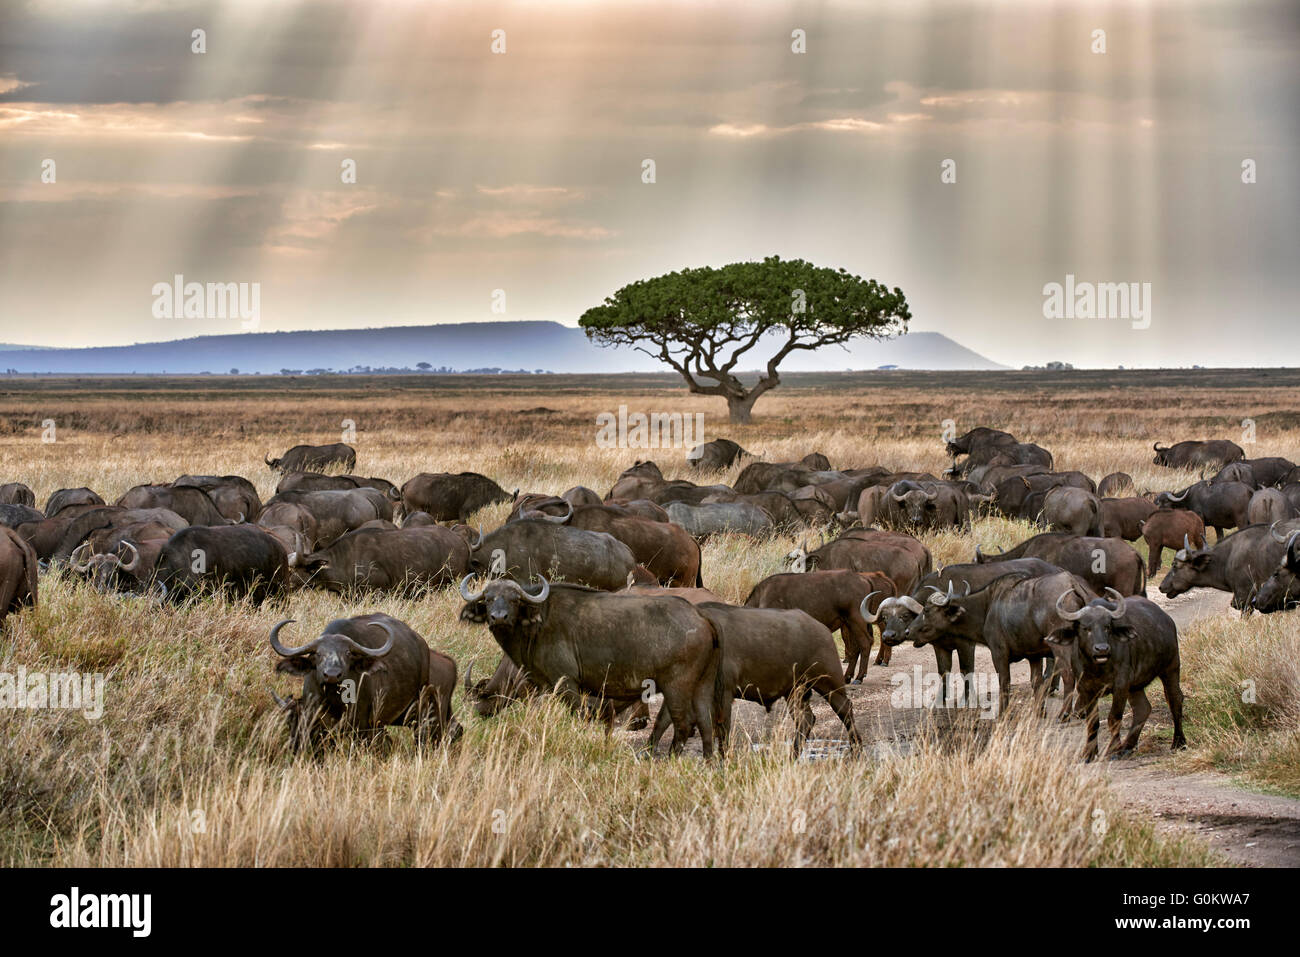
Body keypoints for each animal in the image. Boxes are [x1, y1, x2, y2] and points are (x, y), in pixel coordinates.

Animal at [1045, 590, 1190, 764]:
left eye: (1107, 627)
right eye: (1086, 628)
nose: (1102, 649)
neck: (1098, 668)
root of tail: (1167, 620)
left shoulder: (1120, 686)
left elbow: (1114, 718)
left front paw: (1113, 750)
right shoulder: (1085, 689)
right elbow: (1092, 721)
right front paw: (1089, 753)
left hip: (1171, 668)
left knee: (1175, 700)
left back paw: (1179, 742)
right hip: (1136, 686)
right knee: (1143, 708)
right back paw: (1127, 746)